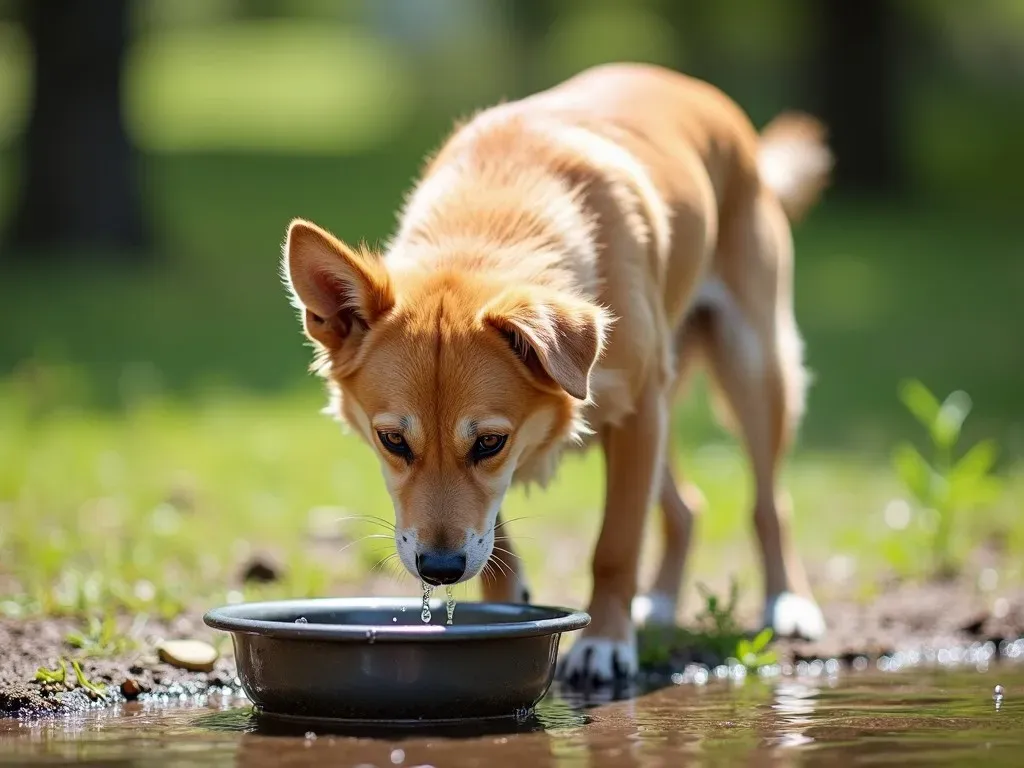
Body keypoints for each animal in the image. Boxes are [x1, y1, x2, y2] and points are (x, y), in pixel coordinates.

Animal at [280, 61, 831, 684]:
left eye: (488, 442)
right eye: (392, 440)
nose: (439, 569)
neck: (492, 219)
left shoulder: (636, 414)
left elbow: (615, 545)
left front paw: (607, 644)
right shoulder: (607, 425)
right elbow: (497, 543)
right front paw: (503, 608)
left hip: (752, 366)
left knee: (769, 503)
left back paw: (788, 602)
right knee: (686, 507)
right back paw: (662, 602)